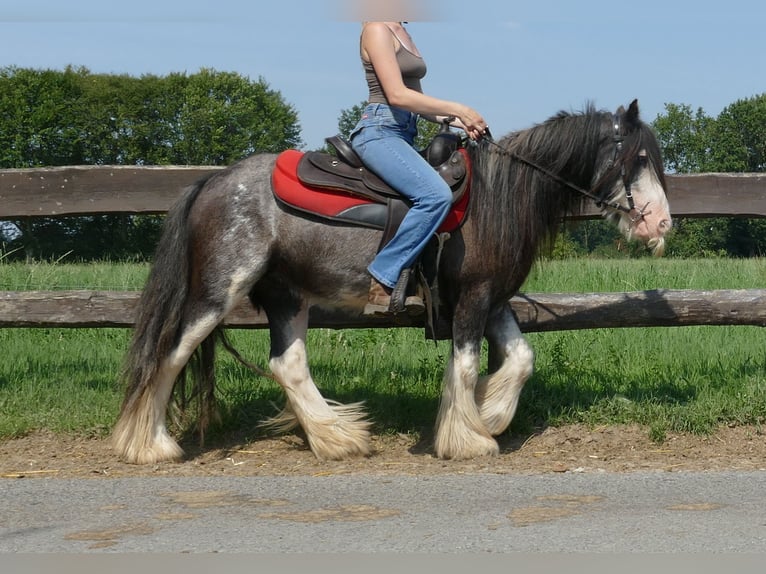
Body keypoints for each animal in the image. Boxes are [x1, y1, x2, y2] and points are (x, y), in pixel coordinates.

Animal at [112, 99, 672, 466]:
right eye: (639, 159)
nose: (662, 224)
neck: (499, 197)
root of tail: (213, 181)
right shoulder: (472, 300)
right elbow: (466, 365)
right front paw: (466, 438)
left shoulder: (492, 298)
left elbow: (520, 360)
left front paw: (490, 415)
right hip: (217, 291)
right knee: (170, 353)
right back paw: (149, 445)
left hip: (285, 294)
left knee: (287, 364)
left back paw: (338, 438)